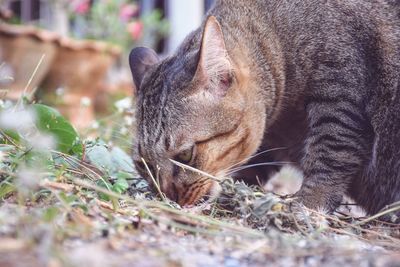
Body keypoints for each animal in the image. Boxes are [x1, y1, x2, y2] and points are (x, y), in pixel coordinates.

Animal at [129, 0, 400, 217]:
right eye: (143, 164)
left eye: (185, 154)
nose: (168, 197)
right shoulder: (272, 139)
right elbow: (255, 164)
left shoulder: (339, 102)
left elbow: (330, 157)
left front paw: (307, 204)